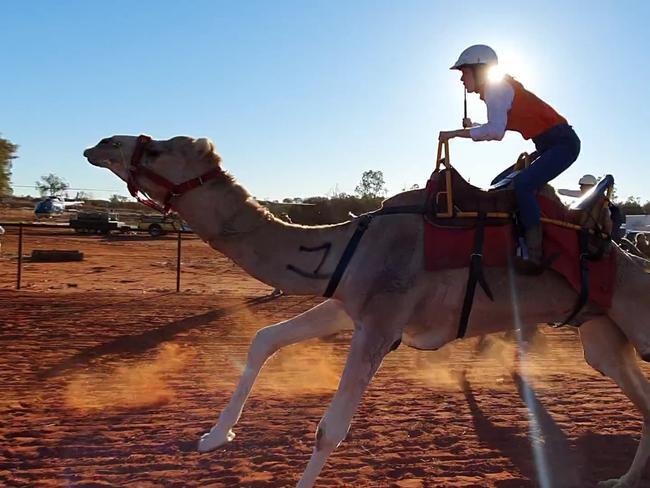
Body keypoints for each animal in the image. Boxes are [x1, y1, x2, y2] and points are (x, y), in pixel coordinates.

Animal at [83, 134, 648, 488]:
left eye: (158, 148)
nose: (99, 144)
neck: (343, 245)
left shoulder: (381, 321)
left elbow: (329, 429)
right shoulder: (347, 305)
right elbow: (265, 339)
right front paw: (214, 436)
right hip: (601, 333)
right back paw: (620, 478)